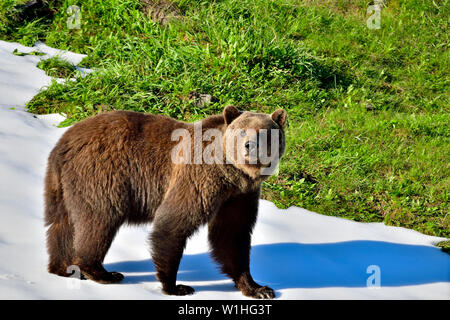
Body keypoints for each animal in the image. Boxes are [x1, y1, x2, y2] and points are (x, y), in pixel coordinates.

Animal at [44, 106, 286, 298]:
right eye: (242, 130)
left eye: (266, 132)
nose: (250, 146)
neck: (231, 174)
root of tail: (65, 141)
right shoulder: (198, 176)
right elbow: (173, 221)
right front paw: (175, 286)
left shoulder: (239, 195)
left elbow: (232, 235)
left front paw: (258, 288)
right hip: (102, 173)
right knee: (99, 219)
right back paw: (103, 272)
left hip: (61, 184)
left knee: (61, 224)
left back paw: (64, 267)